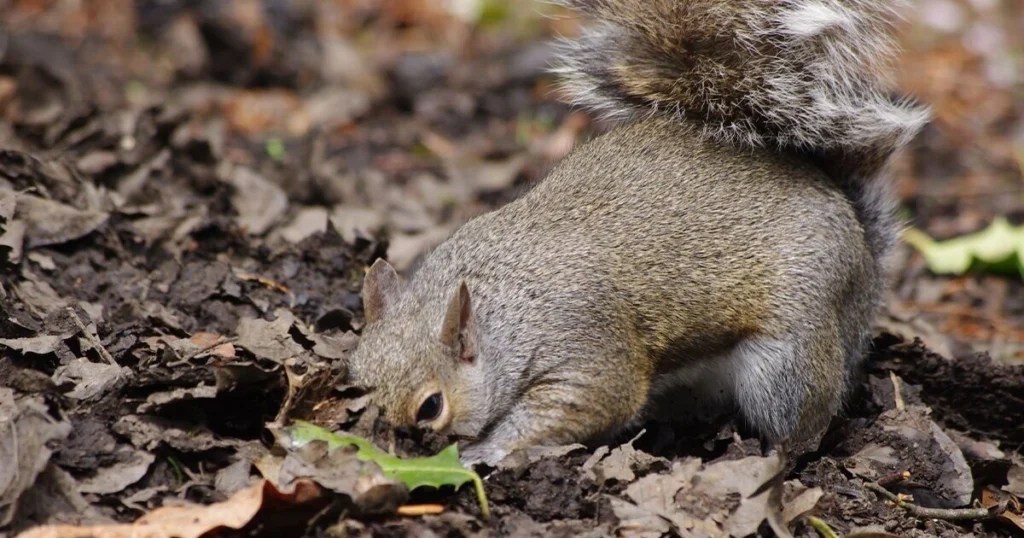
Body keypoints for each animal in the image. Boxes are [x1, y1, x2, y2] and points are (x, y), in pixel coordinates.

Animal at [346, 0, 930, 465]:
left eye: (431, 407)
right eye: (356, 379)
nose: (380, 450)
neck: (497, 308)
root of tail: (858, 235)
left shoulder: (585, 345)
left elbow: (593, 400)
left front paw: (485, 451)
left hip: (790, 356)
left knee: (803, 421)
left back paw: (776, 456)